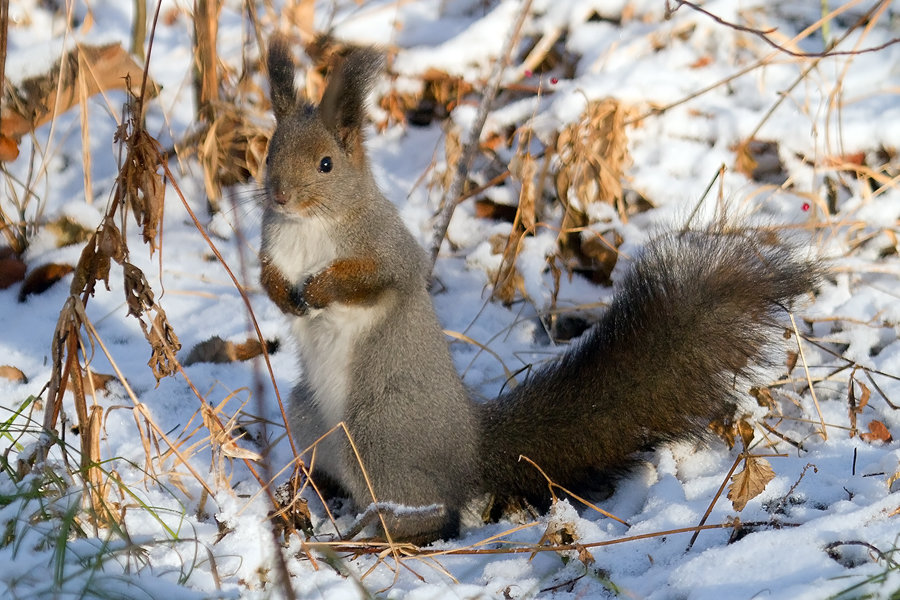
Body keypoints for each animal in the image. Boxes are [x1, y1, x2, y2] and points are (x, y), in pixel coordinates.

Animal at [258, 37, 824, 544]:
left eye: (327, 164)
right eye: (268, 153)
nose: (280, 196)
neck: (309, 226)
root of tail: (469, 451)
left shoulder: (387, 248)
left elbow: (373, 280)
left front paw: (320, 288)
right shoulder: (273, 243)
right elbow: (265, 276)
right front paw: (284, 294)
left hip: (379, 435)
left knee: (431, 517)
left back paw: (379, 541)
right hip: (310, 419)